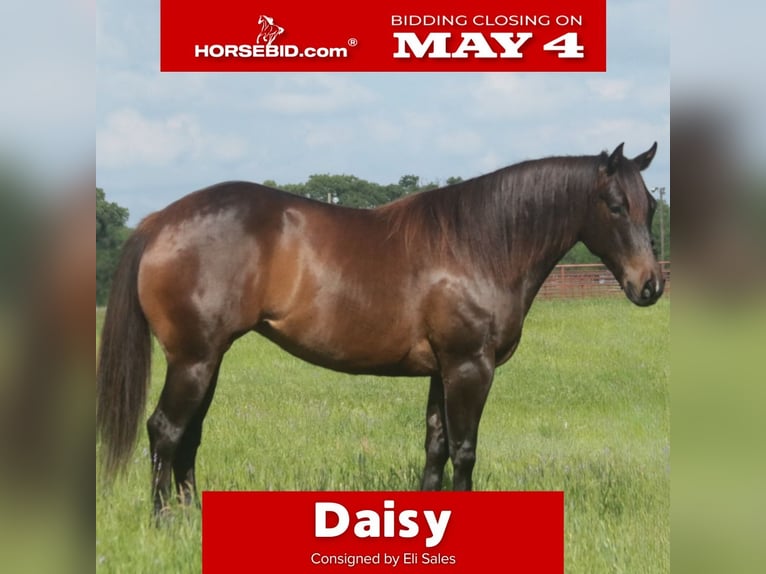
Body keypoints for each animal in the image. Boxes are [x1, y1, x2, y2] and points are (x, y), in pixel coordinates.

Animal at [97, 143, 663, 516]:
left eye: (651, 205)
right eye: (616, 206)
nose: (651, 285)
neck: (479, 245)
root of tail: (159, 222)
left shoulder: (442, 371)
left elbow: (436, 447)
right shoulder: (469, 367)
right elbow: (465, 450)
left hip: (206, 359)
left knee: (188, 435)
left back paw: (190, 518)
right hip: (193, 359)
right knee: (165, 430)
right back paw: (163, 521)